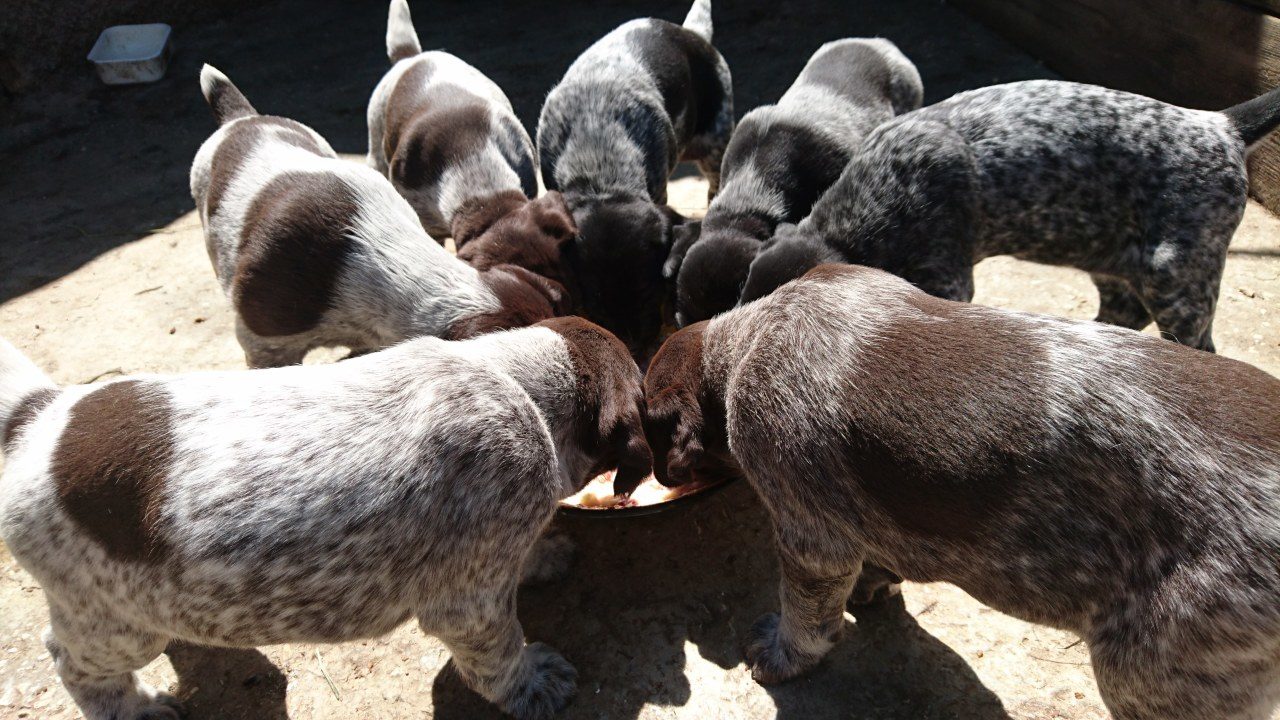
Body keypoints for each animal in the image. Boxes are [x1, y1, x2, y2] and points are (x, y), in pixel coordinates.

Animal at [0, 316, 651, 720]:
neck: (517, 384)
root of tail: (36, 418)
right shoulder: (470, 602)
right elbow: (500, 656)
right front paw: (533, 683)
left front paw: (544, 554)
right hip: (116, 622)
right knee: (71, 661)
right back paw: (132, 708)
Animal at [644, 263, 1280, 720]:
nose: (657, 474)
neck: (752, 337)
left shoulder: (811, 538)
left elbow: (807, 620)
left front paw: (783, 652)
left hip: (1148, 671)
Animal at [741, 80, 1280, 351]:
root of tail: (1222, 126)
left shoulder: (948, 278)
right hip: (1110, 257)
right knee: (1125, 312)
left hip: (1177, 278)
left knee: (1196, 344)